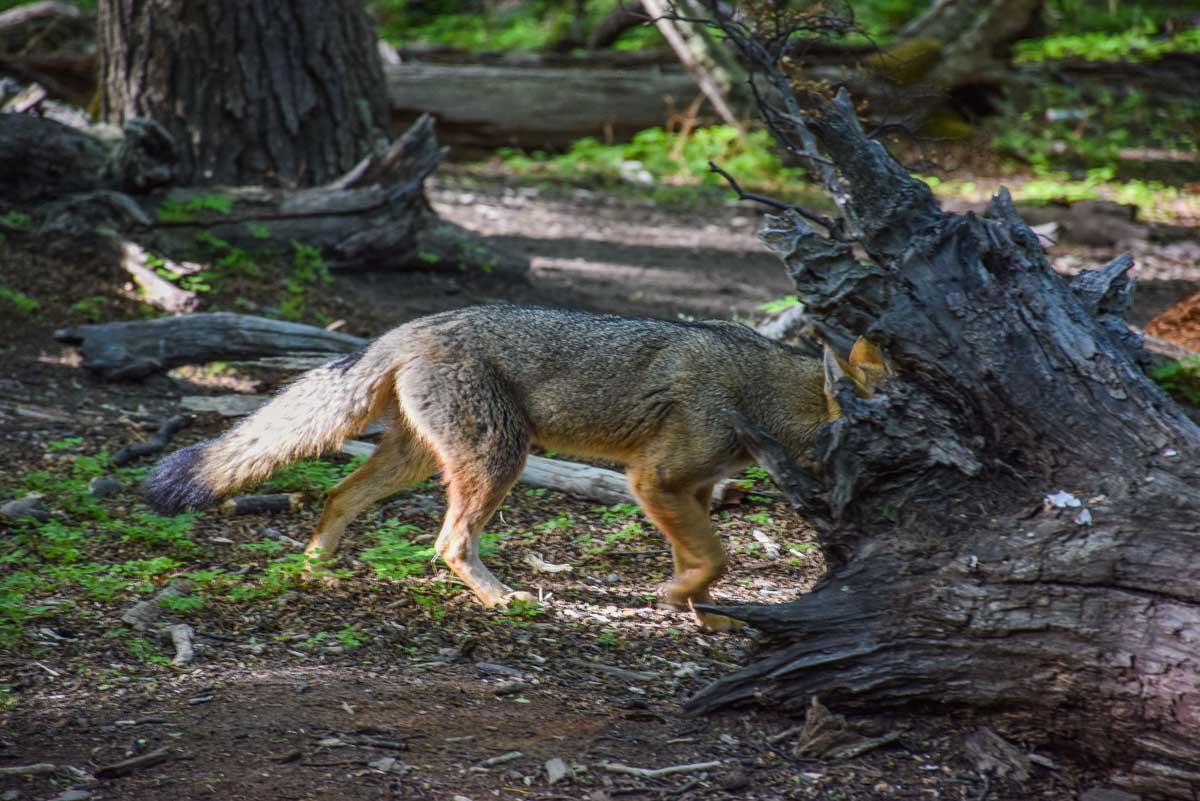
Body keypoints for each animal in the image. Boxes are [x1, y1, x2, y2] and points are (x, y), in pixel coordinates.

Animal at [144, 305, 890, 631]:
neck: (755, 387)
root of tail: (408, 326)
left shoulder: (694, 487)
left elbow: (703, 559)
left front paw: (700, 610)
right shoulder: (653, 480)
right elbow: (716, 555)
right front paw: (680, 598)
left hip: (420, 460)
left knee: (337, 497)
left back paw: (313, 571)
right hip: (501, 458)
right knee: (447, 541)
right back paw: (500, 599)